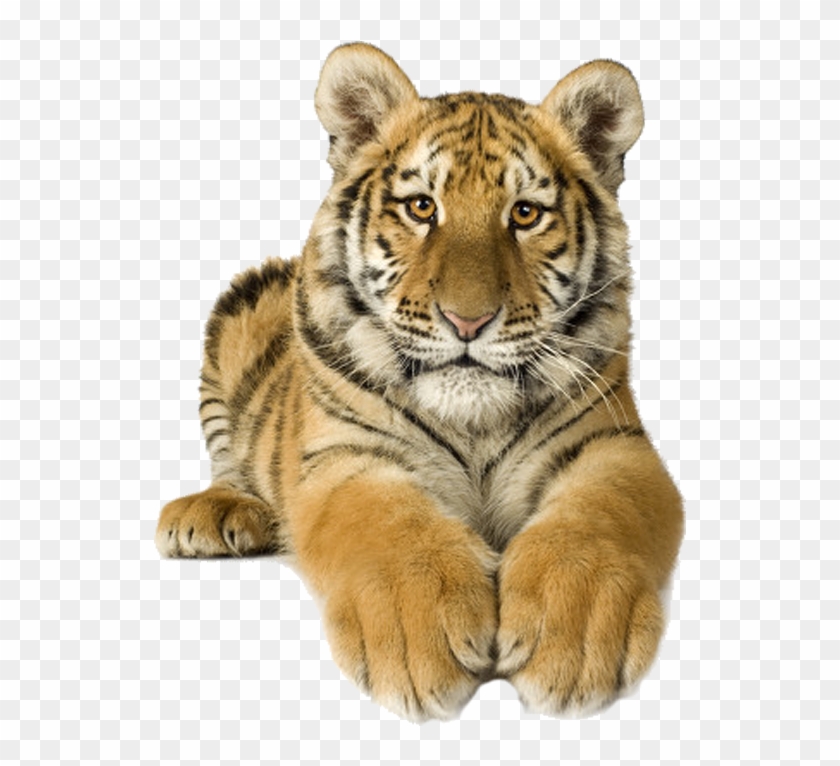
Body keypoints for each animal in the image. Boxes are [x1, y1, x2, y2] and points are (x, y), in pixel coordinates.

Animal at [156, 42, 684, 722]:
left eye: (525, 214)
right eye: (422, 207)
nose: (468, 321)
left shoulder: (613, 445)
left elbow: (594, 520)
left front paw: (574, 634)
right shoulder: (345, 456)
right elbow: (389, 526)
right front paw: (418, 634)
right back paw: (216, 514)